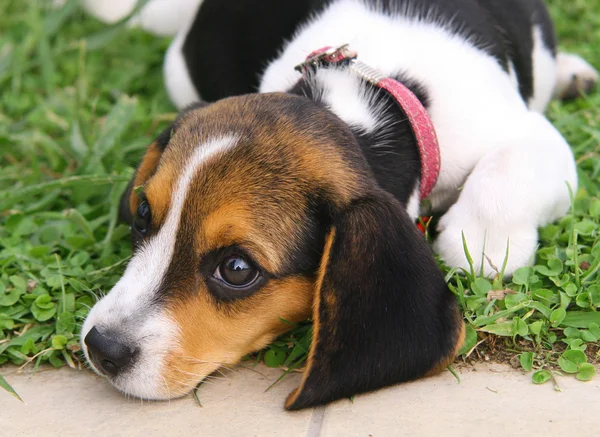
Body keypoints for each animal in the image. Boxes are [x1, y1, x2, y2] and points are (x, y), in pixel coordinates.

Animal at [79, 0, 596, 408]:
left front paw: (483, 240)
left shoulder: (537, 140)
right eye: (142, 216)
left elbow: (507, 176)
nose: (102, 348)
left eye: (237, 270)